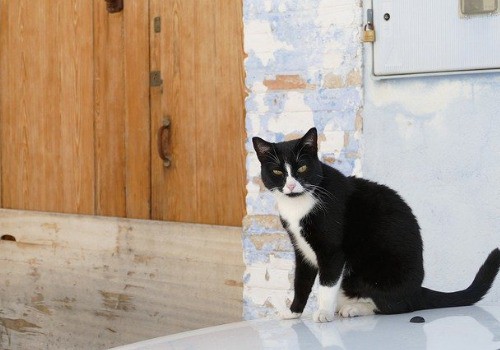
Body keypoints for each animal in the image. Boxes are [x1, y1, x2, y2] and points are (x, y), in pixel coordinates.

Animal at [252, 126, 500, 322]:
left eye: (302, 168)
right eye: (277, 171)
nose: (291, 185)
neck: (298, 205)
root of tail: (417, 289)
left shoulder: (332, 251)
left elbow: (326, 284)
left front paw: (323, 313)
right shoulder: (301, 249)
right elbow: (301, 282)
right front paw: (293, 312)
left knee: (397, 306)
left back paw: (354, 308)